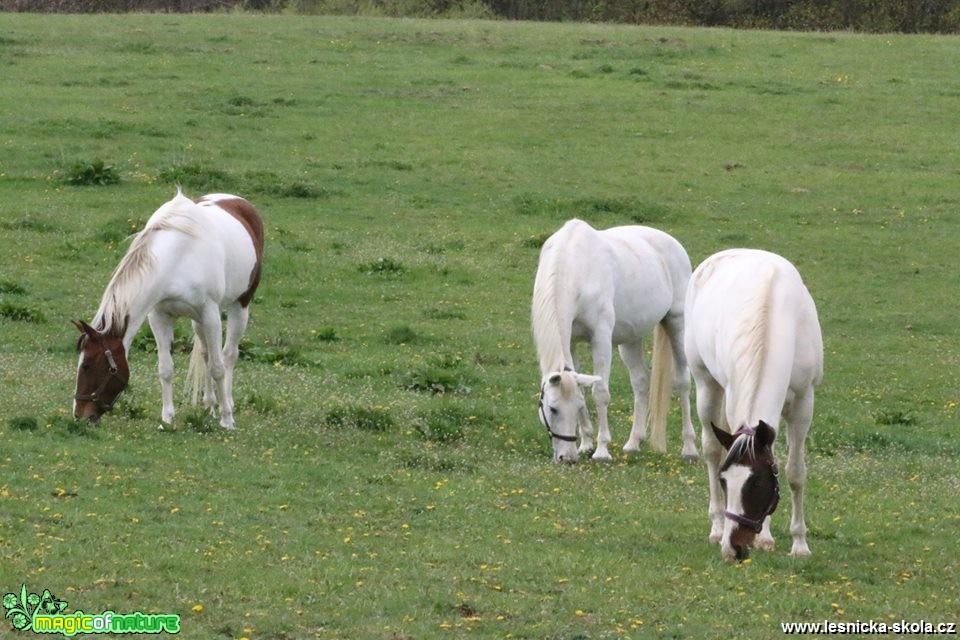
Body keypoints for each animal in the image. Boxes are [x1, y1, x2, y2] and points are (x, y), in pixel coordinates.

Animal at [73, 190, 264, 430]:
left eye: (87, 366)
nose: (79, 415)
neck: (178, 257)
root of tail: (236, 200)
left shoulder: (210, 314)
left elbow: (218, 368)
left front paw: (227, 419)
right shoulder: (159, 316)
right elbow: (166, 369)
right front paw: (167, 418)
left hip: (239, 306)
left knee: (229, 355)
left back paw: (226, 405)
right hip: (198, 321)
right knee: (206, 354)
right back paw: (210, 406)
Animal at [532, 218, 696, 462]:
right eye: (552, 409)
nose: (567, 458)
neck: (576, 267)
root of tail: (674, 245)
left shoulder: (600, 338)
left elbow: (600, 393)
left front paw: (601, 450)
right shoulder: (571, 341)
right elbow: (584, 389)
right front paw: (586, 444)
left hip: (677, 324)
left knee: (683, 382)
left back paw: (689, 448)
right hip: (631, 339)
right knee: (641, 381)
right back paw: (633, 443)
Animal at [684, 250, 824, 560]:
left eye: (757, 482)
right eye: (724, 481)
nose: (732, 548)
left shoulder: (803, 404)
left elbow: (794, 472)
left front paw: (799, 544)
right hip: (706, 384)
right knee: (711, 449)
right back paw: (717, 526)